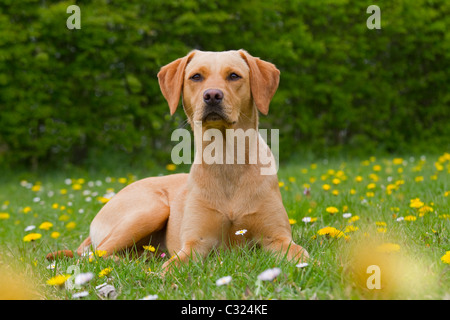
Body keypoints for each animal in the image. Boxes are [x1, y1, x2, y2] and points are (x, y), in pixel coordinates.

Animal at [48, 49, 310, 270]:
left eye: (234, 76)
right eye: (196, 77)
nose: (212, 95)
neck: (226, 159)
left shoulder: (278, 238)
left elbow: (302, 256)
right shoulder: (195, 244)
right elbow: (171, 268)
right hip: (150, 209)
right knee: (94, 256)